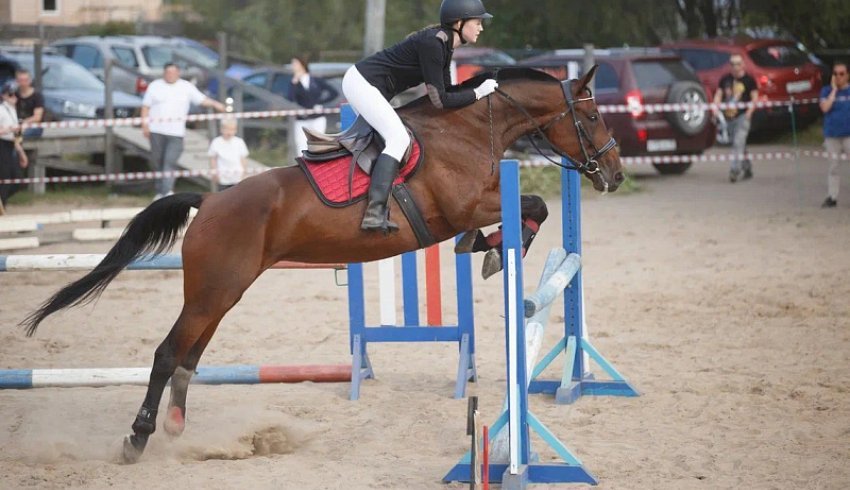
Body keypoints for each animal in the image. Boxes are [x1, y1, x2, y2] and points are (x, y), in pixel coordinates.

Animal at [19, 66, 624, 464]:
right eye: (593, 114)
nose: (615, 174)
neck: (471, 130)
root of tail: (209, 201)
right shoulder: (461, 207)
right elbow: (533, 205)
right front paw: (495, 249)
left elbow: (534, 209)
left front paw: (491, 248)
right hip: (213, 290)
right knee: (168, 353)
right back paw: (138, 437)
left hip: (223, 292)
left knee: (188, 356)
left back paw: (174, 426)